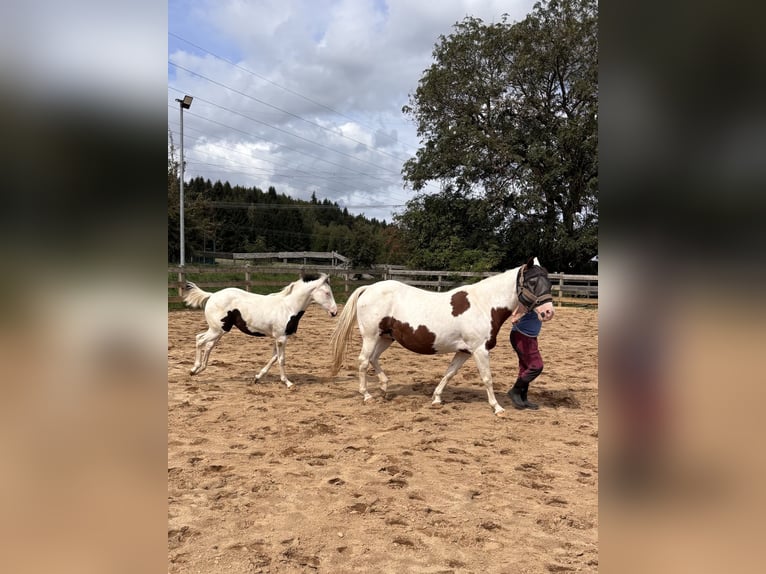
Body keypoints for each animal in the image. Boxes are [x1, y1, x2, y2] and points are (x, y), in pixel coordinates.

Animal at [183, 273, 338, 387]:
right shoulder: (281, 338)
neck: (288, 308)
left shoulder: (278, 338)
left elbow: (274, 357)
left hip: (220, 331)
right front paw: (288, 383)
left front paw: (257, 377)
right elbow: (281, 359)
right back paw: (193, 369)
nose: (334, 312)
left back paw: (199, 370)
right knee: (199, 339)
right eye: (327, 293)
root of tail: (212, 295)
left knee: (208, 345)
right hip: (217, 330)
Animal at [329, 258, 555, 415]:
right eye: (532, 281)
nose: (548, 312)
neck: (484, 305)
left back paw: (384, 388)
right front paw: (497, 408)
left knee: (374, 359)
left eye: (549, 282)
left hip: (386, 338)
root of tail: (369, 288)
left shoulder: (464, 351)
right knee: (363, 361)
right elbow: (487, 378)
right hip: (370, 336)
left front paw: (436, 398)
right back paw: (367, 396)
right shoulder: (479, 350)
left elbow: (449, 373)